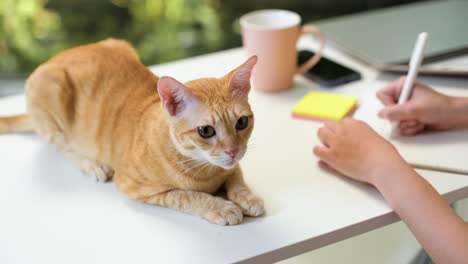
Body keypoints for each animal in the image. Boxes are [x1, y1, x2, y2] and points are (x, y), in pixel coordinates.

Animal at [0, 39, 264, 225]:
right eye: (206, 131)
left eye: (241, 123)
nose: (232, 150)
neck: (205, 170)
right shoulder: (133, 184)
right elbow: (185, 195)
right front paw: (221, 207)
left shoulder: (233, 166)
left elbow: (237, 177)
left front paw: (248, 197)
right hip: (49, 89)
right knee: (62, 147)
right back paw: (92, 165)